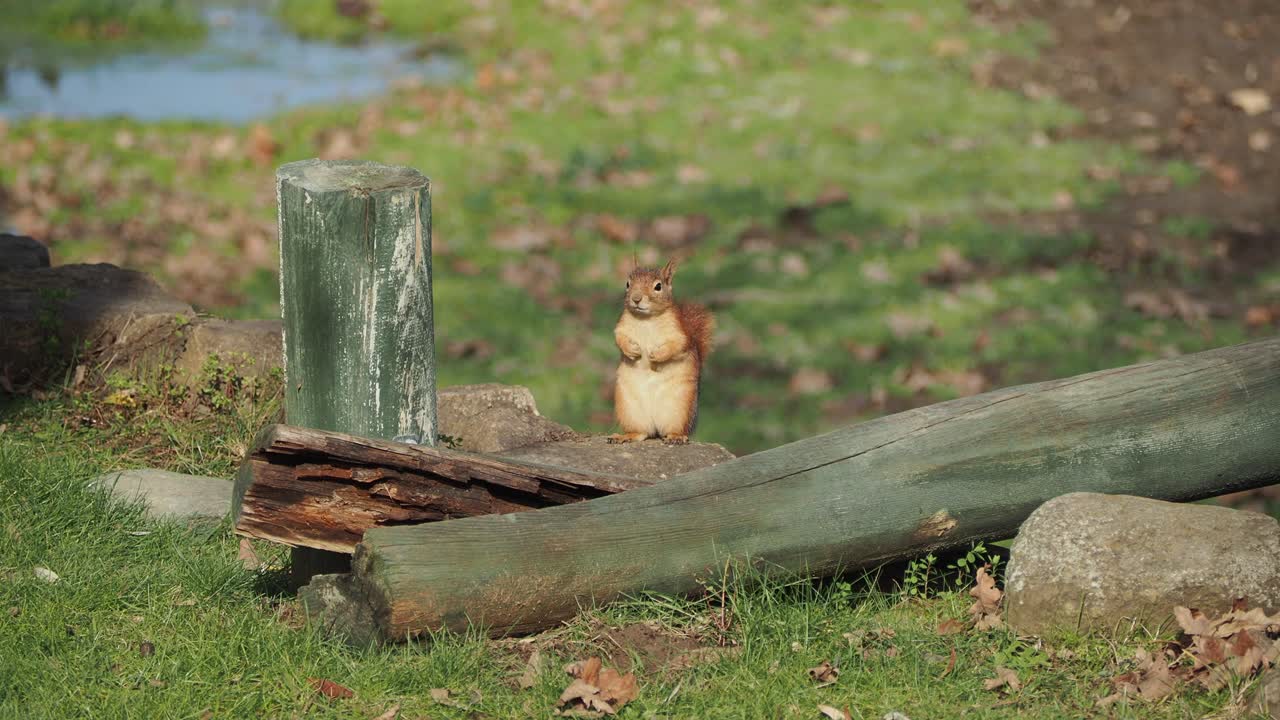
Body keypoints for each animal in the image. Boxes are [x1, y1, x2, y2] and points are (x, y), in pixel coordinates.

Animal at [607, 259, 714, 445]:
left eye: (658, 286)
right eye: (628, 283)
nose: (636, 299)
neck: (646, 319)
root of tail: (656, 427)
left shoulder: (679, 332)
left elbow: (677, 345)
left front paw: (655, 356)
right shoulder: (622, 326)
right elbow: (619, 339)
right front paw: (632, 350)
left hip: (680, 408)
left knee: (675, 429)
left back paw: (676, 437)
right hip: (629, 409)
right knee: (641, 432)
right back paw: (627, 436)